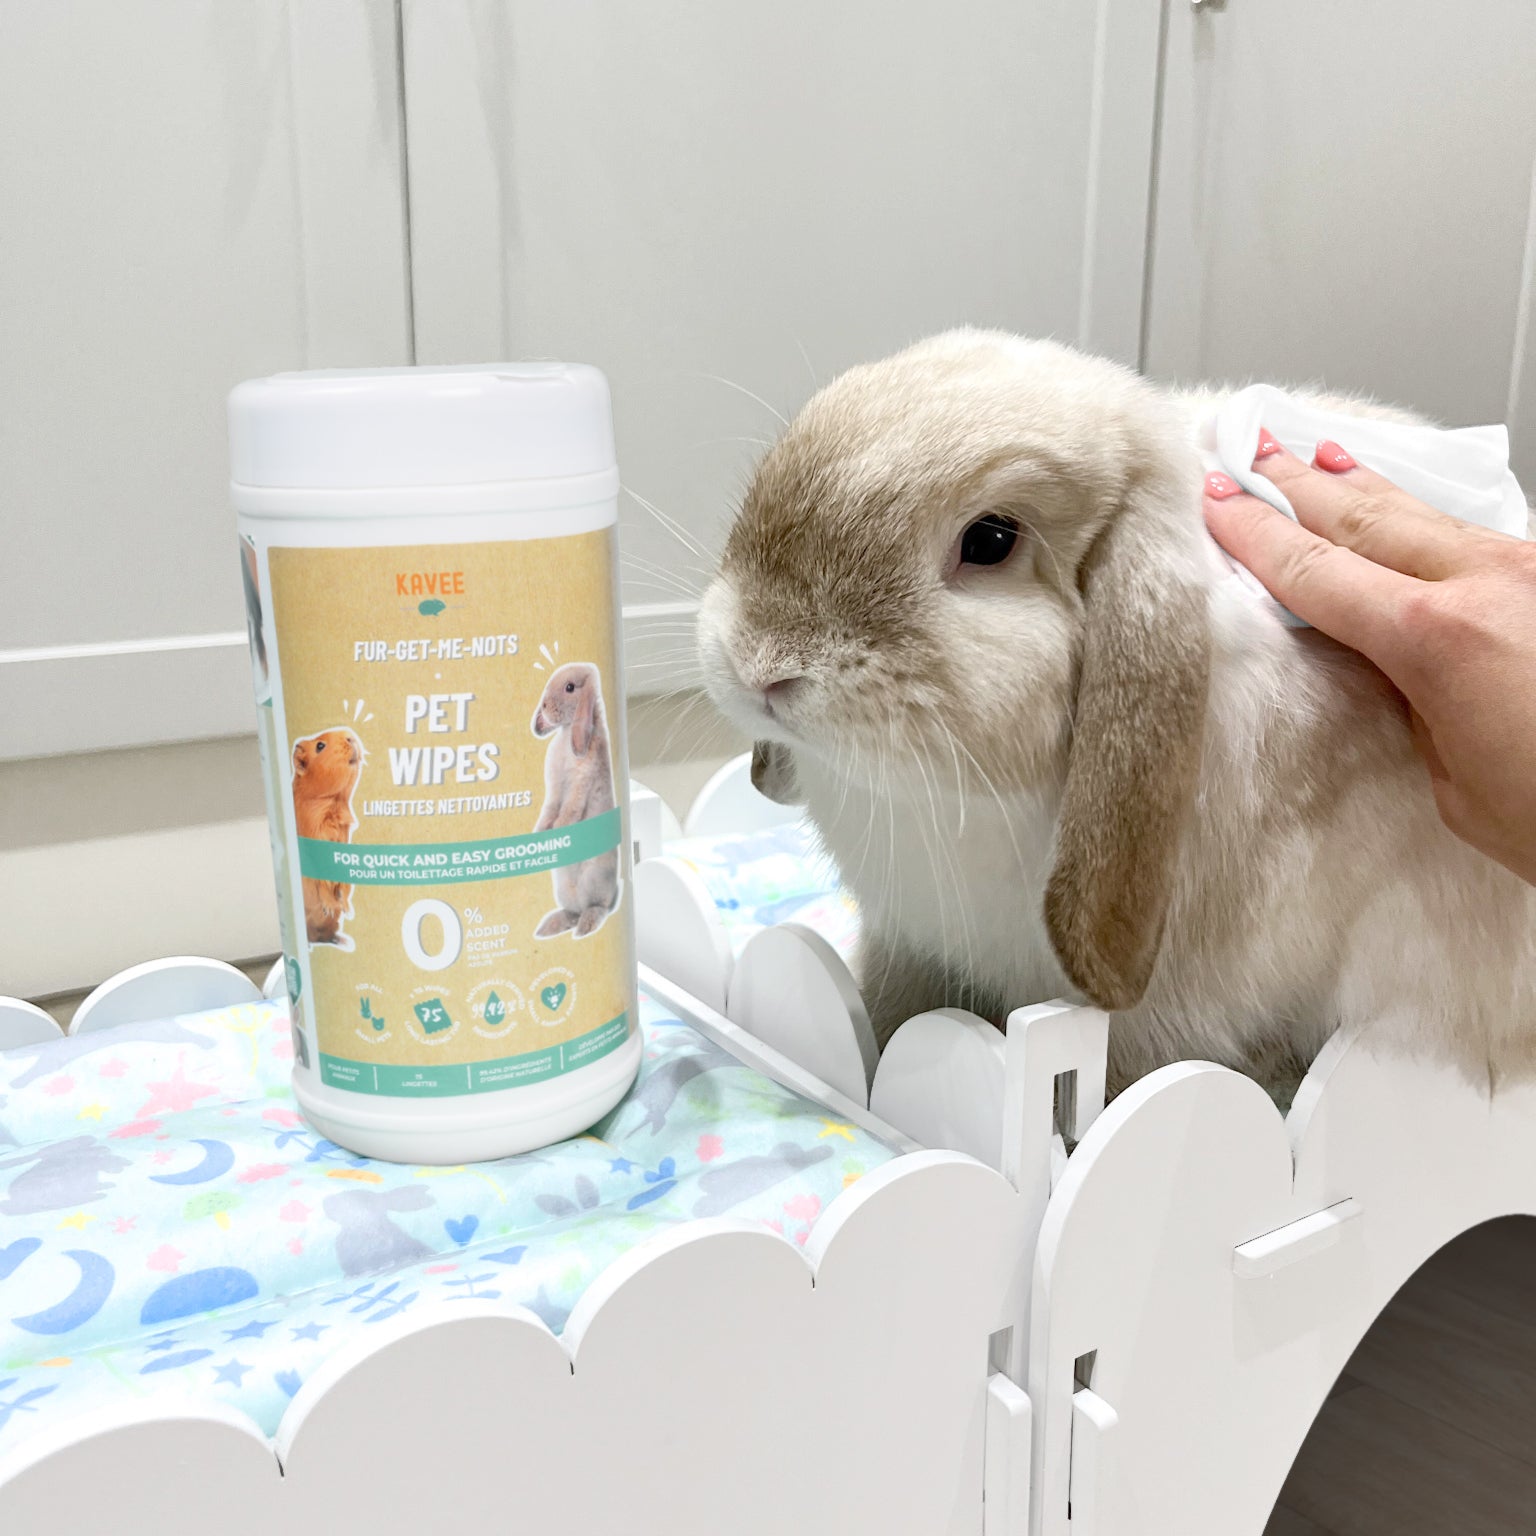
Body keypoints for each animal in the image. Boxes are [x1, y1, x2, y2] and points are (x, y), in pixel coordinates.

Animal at [292, 727, 363, 946]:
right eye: (320, 745)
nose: (350, 737)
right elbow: (323, 883)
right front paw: (332, 907)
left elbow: (343, 885)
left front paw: (347, 910)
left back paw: (341, 940)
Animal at [530, 662, 622, 938]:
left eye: (570, 687)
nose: (544, 707)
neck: (567, 732)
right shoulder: (554, 791)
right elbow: (548, 812)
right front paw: (541, 836)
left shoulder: (578, 787)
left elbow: (568, 812)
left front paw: (558, 833)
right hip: (563, 890)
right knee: (572, 912)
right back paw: (548, 928)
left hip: (593, 882)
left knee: (596, 907)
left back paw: (585, 927)